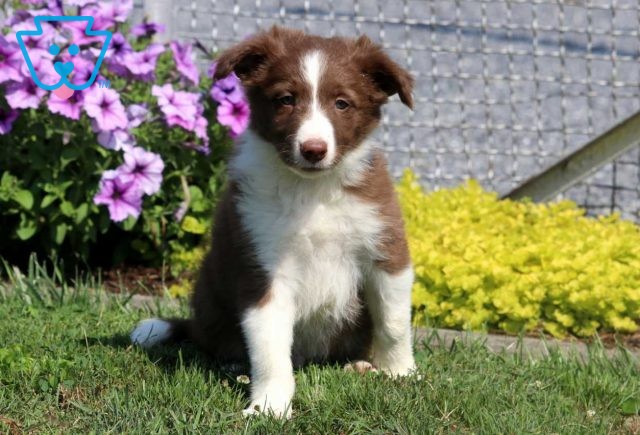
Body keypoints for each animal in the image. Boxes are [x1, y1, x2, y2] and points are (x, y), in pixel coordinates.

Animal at [132, 24, 418, 418]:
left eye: (342, 103)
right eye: (286, 99)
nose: (313, 150)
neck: (312, 190)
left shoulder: (384, 246)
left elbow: (393, 320)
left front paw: (400, 373)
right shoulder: (261, 266)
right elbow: (269, 347)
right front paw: (269, 405)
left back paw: (360, 364)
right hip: (209, 295)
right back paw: (234, 365)